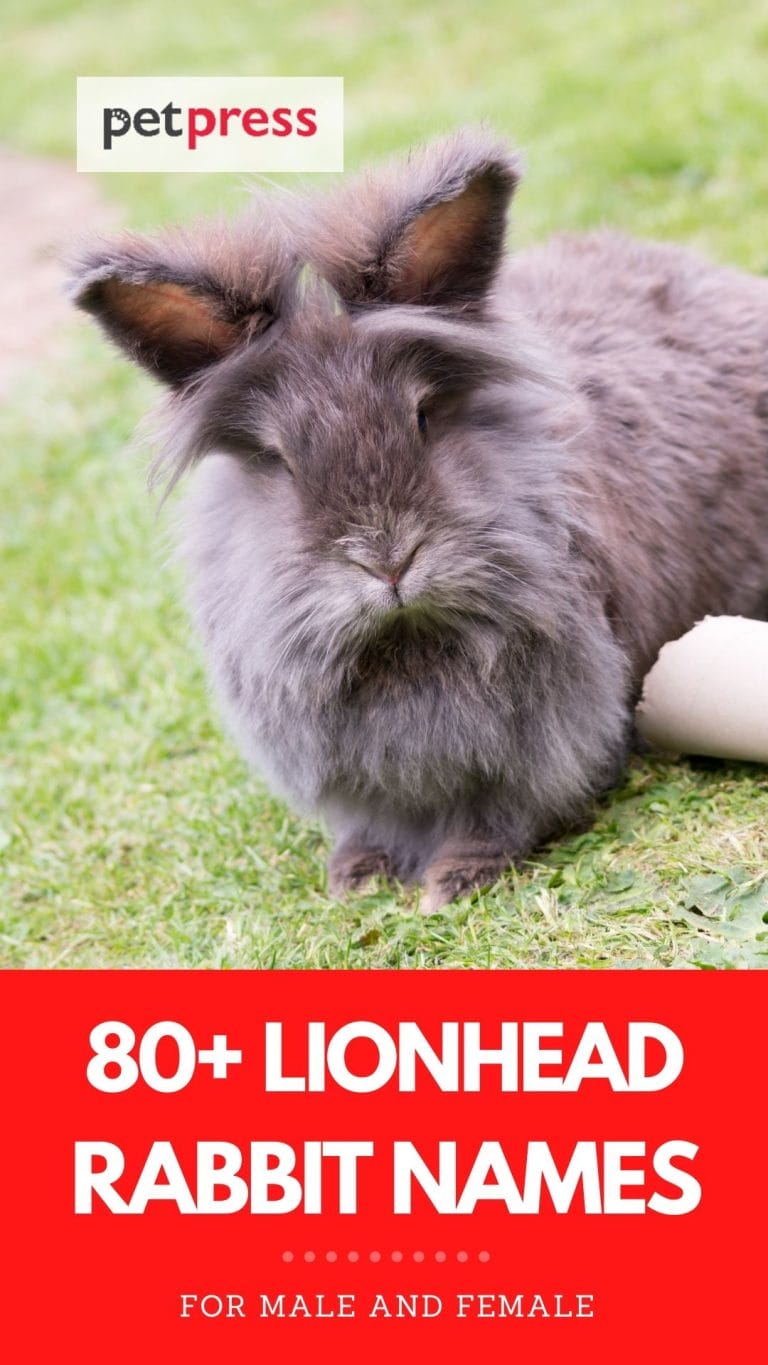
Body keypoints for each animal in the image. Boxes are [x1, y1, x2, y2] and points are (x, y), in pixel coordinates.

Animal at [68, 128, 768, 911]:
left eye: (425, 417)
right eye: (278, 460)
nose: (388, 559)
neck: (404, 645)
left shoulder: (540, 749)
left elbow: (498, 819)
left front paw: (451, 882)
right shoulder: (359, 778)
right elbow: (371, 827)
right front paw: (355, 880)